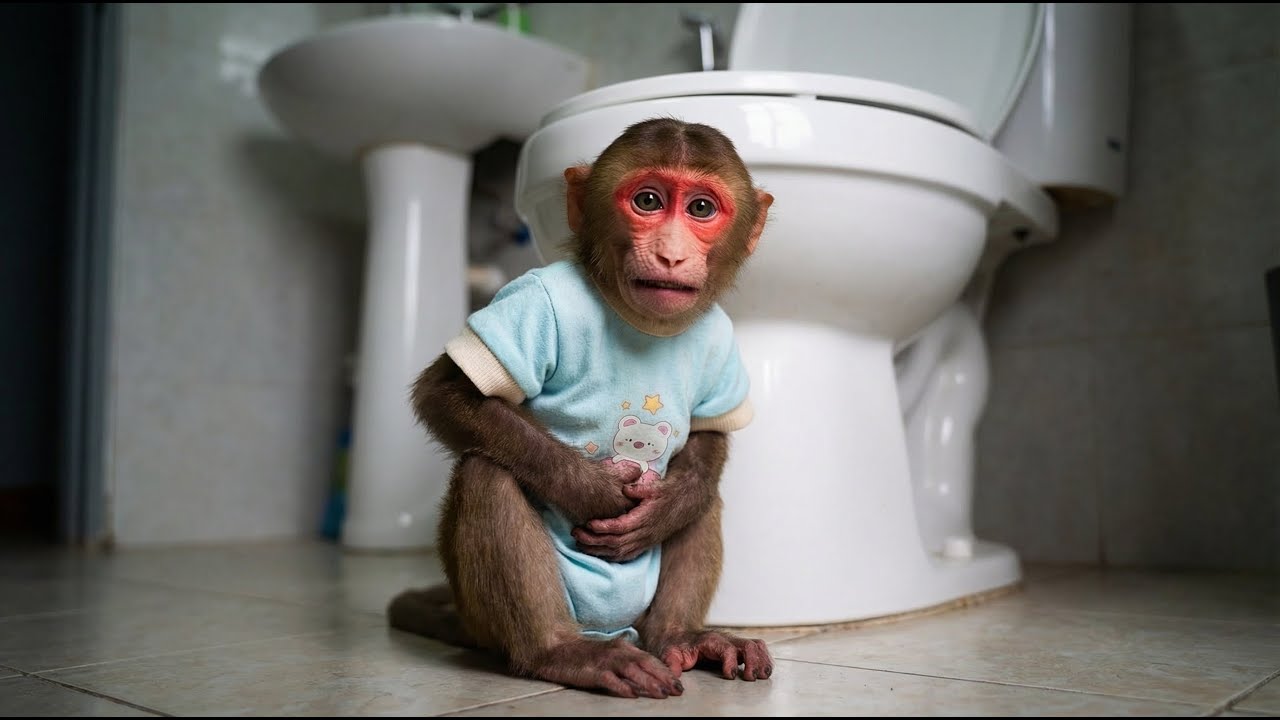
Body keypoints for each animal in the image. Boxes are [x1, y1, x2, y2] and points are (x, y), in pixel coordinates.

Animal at [388, 117, 775, 699]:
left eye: (701, 209)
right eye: (647, 200)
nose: (671, 254)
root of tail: (619, 629)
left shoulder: (721, 335)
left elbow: (708, 439)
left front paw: (668, 505)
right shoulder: (532, 299)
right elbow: (449, 392)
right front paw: (594, 491)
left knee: (705, 497)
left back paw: (682, 635)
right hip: (493, 620)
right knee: (487, 471)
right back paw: (561, 652)